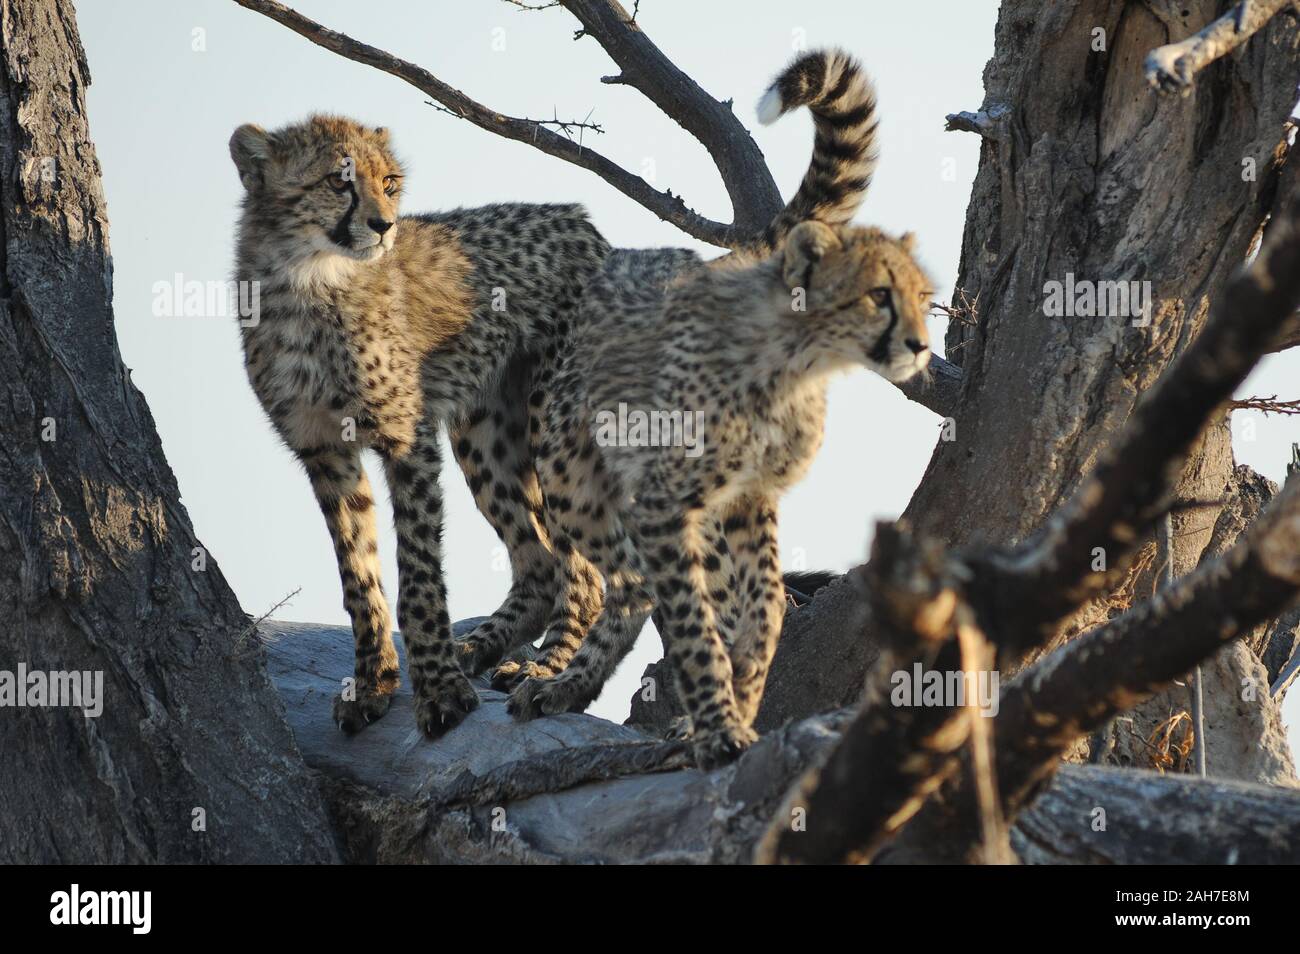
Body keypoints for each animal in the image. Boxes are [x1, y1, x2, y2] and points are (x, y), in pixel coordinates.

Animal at [230, 113, 608, 738]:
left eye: (389, 182)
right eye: (338, 182)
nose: (384, 226)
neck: (308, 279)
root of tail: (580, 220)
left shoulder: (406, 438)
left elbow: (419, 572)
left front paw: (438, 689)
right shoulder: (323, 450)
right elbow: (358, 575)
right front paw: (373, 683)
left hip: (552, 428)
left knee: (581, 571)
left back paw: (545, 674)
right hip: (484, 434)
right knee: (539, 562)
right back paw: (481, 647)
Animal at [509, 50, 935, 769]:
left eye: (924, 296)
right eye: (879, 294)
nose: (921, 345)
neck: (794, 364)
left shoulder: (748, 497)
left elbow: (763, 607)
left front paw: (741, 693)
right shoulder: (665, 502)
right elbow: (691, 619)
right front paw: (717, 725)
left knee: (653, 585)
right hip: (572, 476)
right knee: (627, 583)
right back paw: (568, 684)